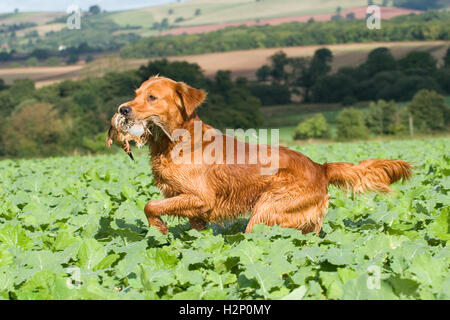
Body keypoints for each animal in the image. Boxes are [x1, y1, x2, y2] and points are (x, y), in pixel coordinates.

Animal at [118, 76, 414, 234]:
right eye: (136, 94)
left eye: (152, 97)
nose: (122, 109)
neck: (177, 141)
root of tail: (321, 167)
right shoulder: (193, 207)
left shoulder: (200, 197)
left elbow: (150, 205)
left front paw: (159, 229)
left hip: (265, 211)